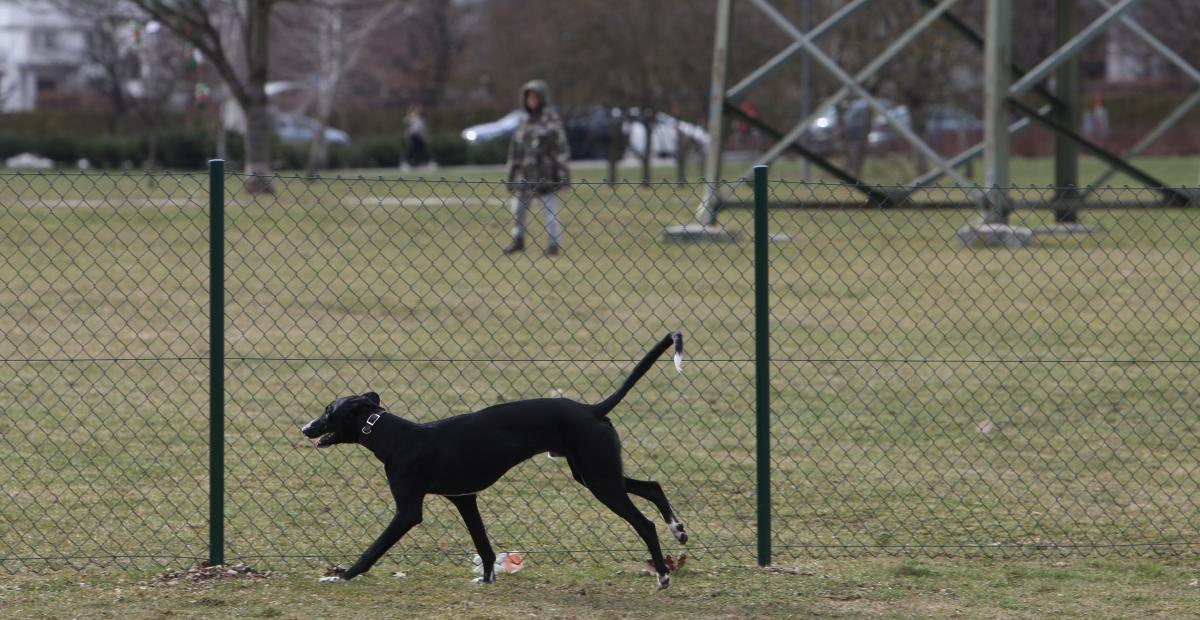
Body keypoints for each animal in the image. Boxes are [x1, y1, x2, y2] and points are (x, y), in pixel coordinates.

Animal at [304, 330, 691, 587]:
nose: (306, 428)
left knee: (644, 524)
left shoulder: (408, 511)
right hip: (595, 473)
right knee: (653, 486)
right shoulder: (465, 499)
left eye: (328, 411)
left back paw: (662, 575)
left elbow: (373, 549)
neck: (395, 436)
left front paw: (342, 576)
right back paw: (678, 529)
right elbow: (484, 546)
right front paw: (487, 578)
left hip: (600, 480)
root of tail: (591, 409)